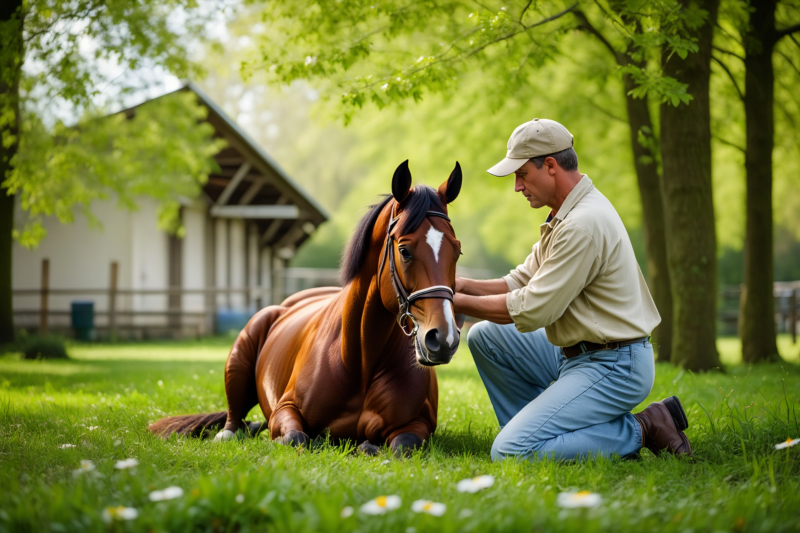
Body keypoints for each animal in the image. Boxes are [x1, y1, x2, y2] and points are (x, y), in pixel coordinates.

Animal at [149, 160, 463, 455]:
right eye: (404, 250)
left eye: (457, 251)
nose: (443, 338)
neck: (359, 360)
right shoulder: (285, 409)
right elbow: (295, 438)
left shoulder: (418, 423)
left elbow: (401, 446)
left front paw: (366, 446)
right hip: (237, 365)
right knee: (233, 421)